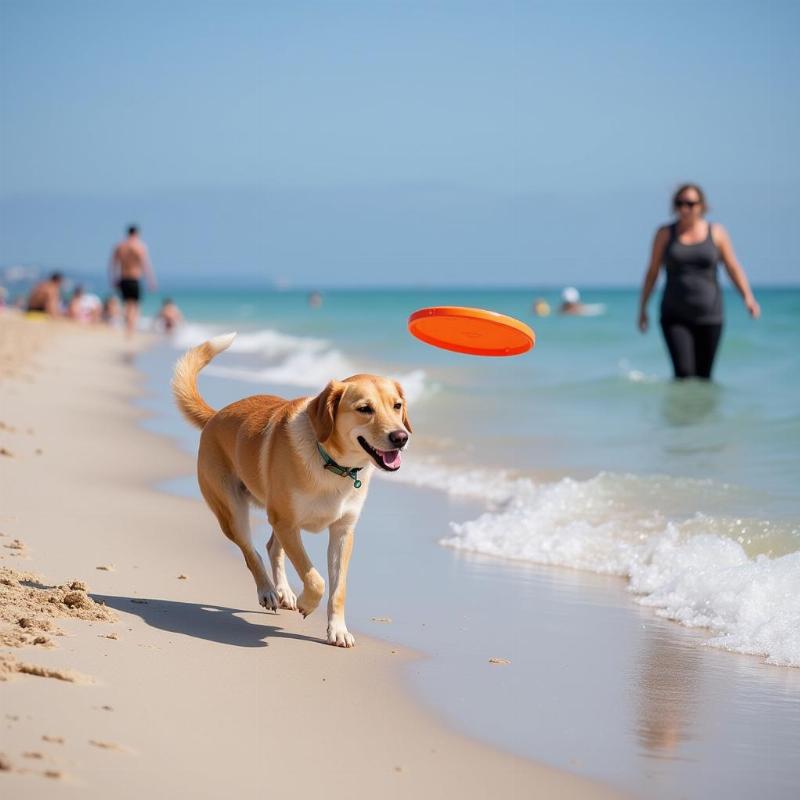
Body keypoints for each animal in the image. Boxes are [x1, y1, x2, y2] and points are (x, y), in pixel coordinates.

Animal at [174, 334, 412, 648]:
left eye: (397, 406)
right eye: (364, 409)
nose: (401, 437)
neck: (332, 465)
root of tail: (215, 415)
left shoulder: (342, 531)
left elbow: (338, 588)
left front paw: (337, 630)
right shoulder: (288, 523)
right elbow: (315, 578)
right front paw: (307, 603)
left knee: (271, 547)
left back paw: (284, 592)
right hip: (232, 512)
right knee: (251, 551)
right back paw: (268, 591)